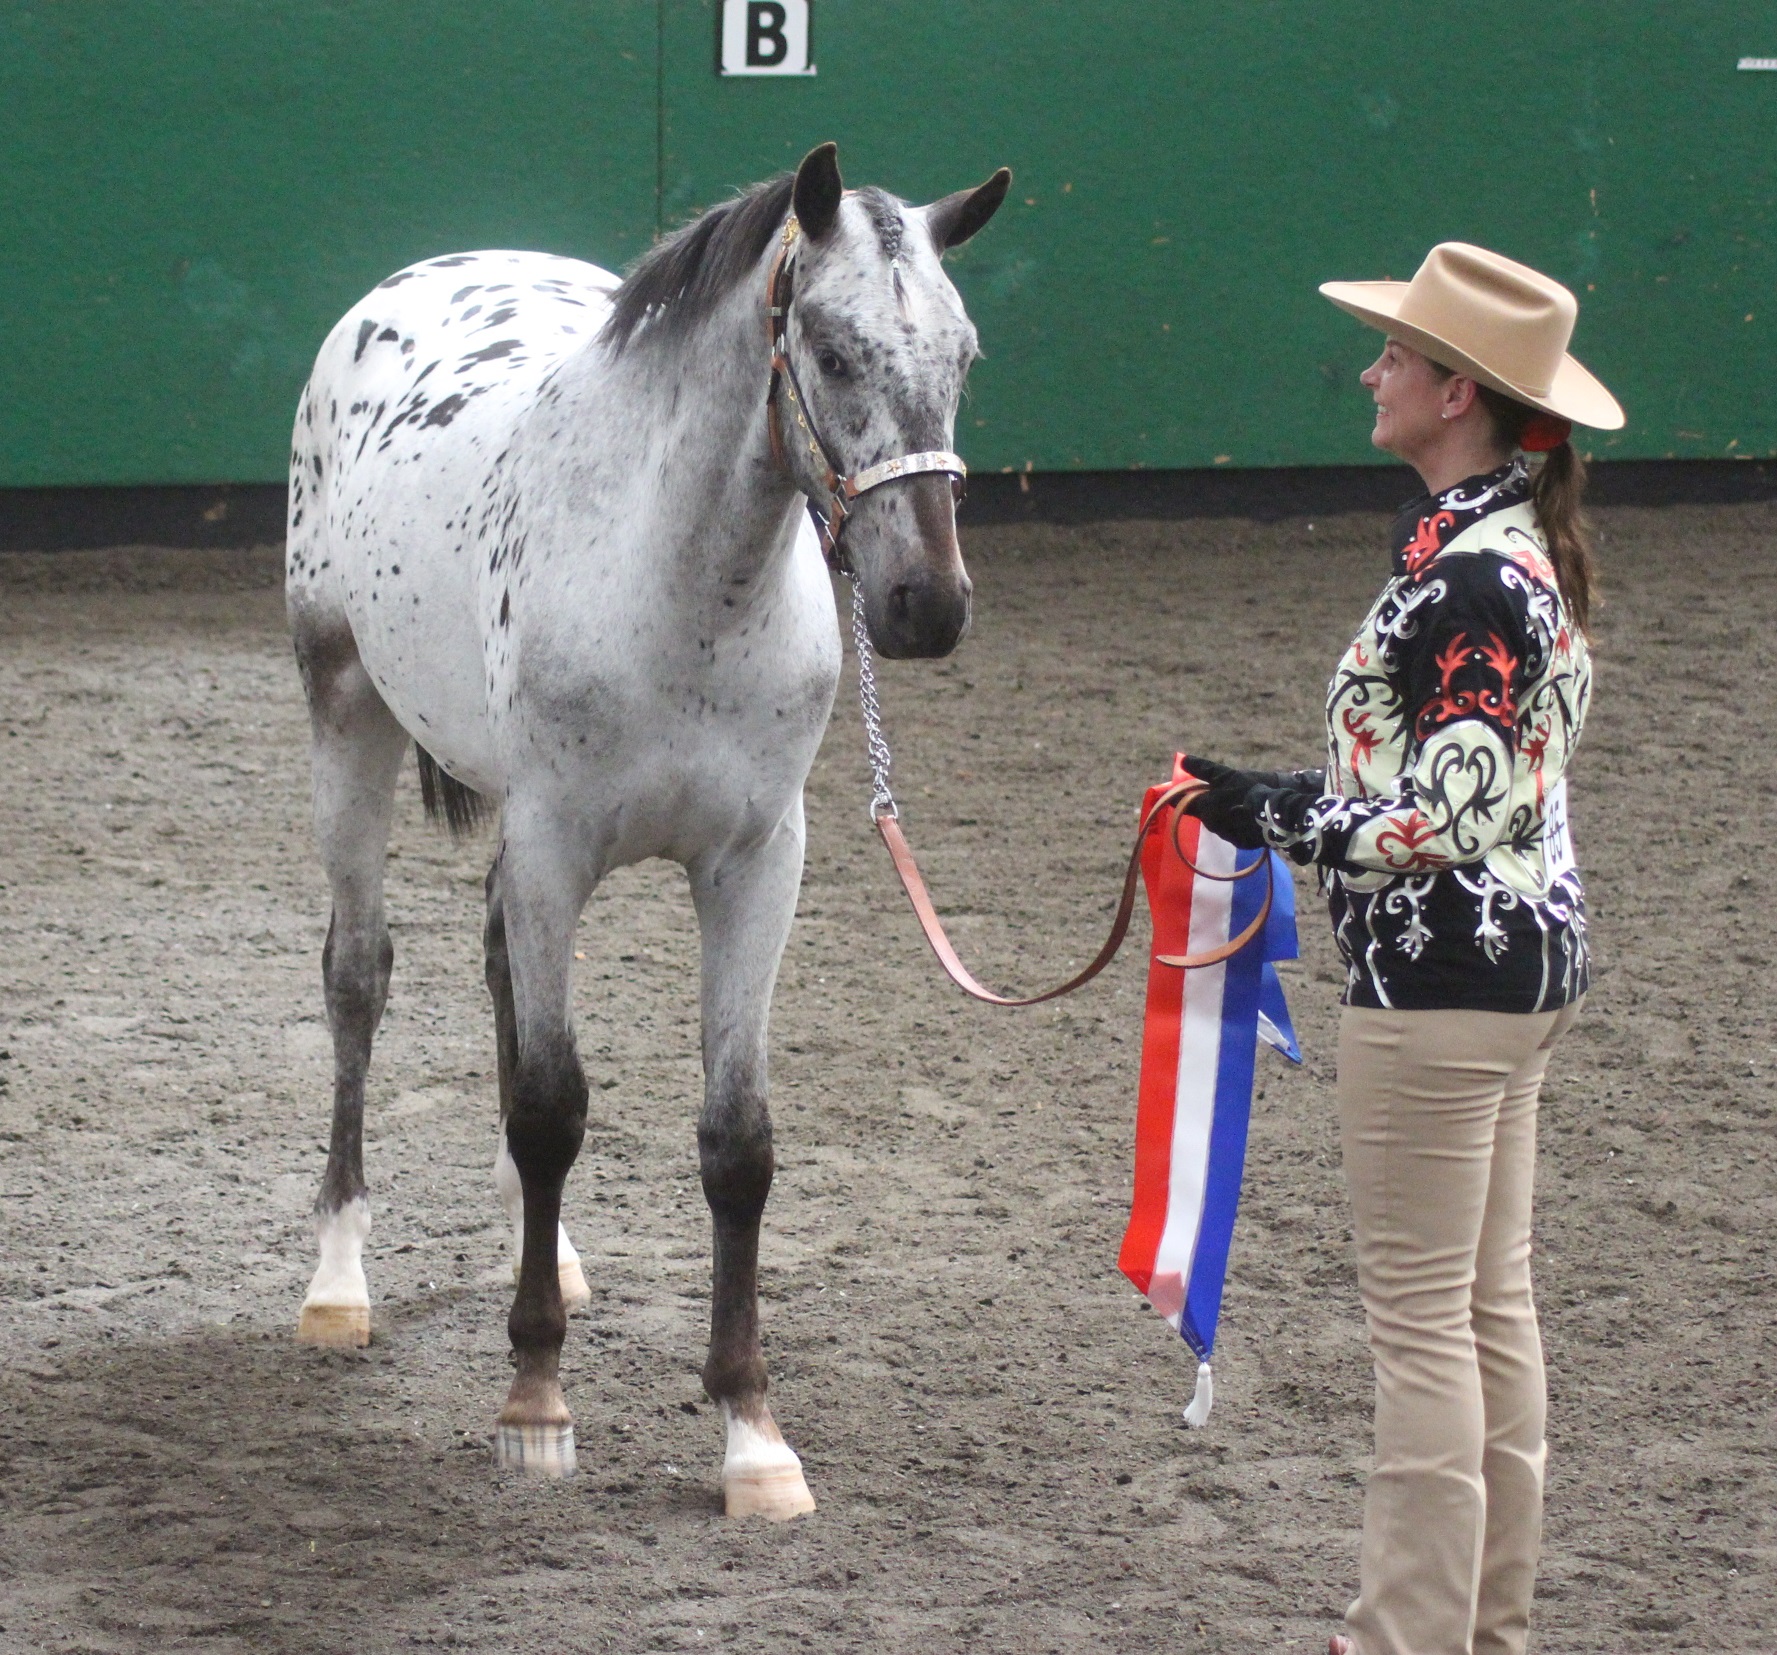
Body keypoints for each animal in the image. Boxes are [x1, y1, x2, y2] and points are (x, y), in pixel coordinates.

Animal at [293, 148, 1016, 1521]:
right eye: (831, 349)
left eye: (966, 353)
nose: (928, 604)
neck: (681, 590)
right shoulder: (557, 848)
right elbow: (549, 1109)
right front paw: (534, 1406)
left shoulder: (756, 864)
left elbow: (735, 1142)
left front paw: (752, 1434)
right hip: (348, 711)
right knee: (358, 979)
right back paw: (337, 1279)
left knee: (496, 977)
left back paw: (550, 1253)